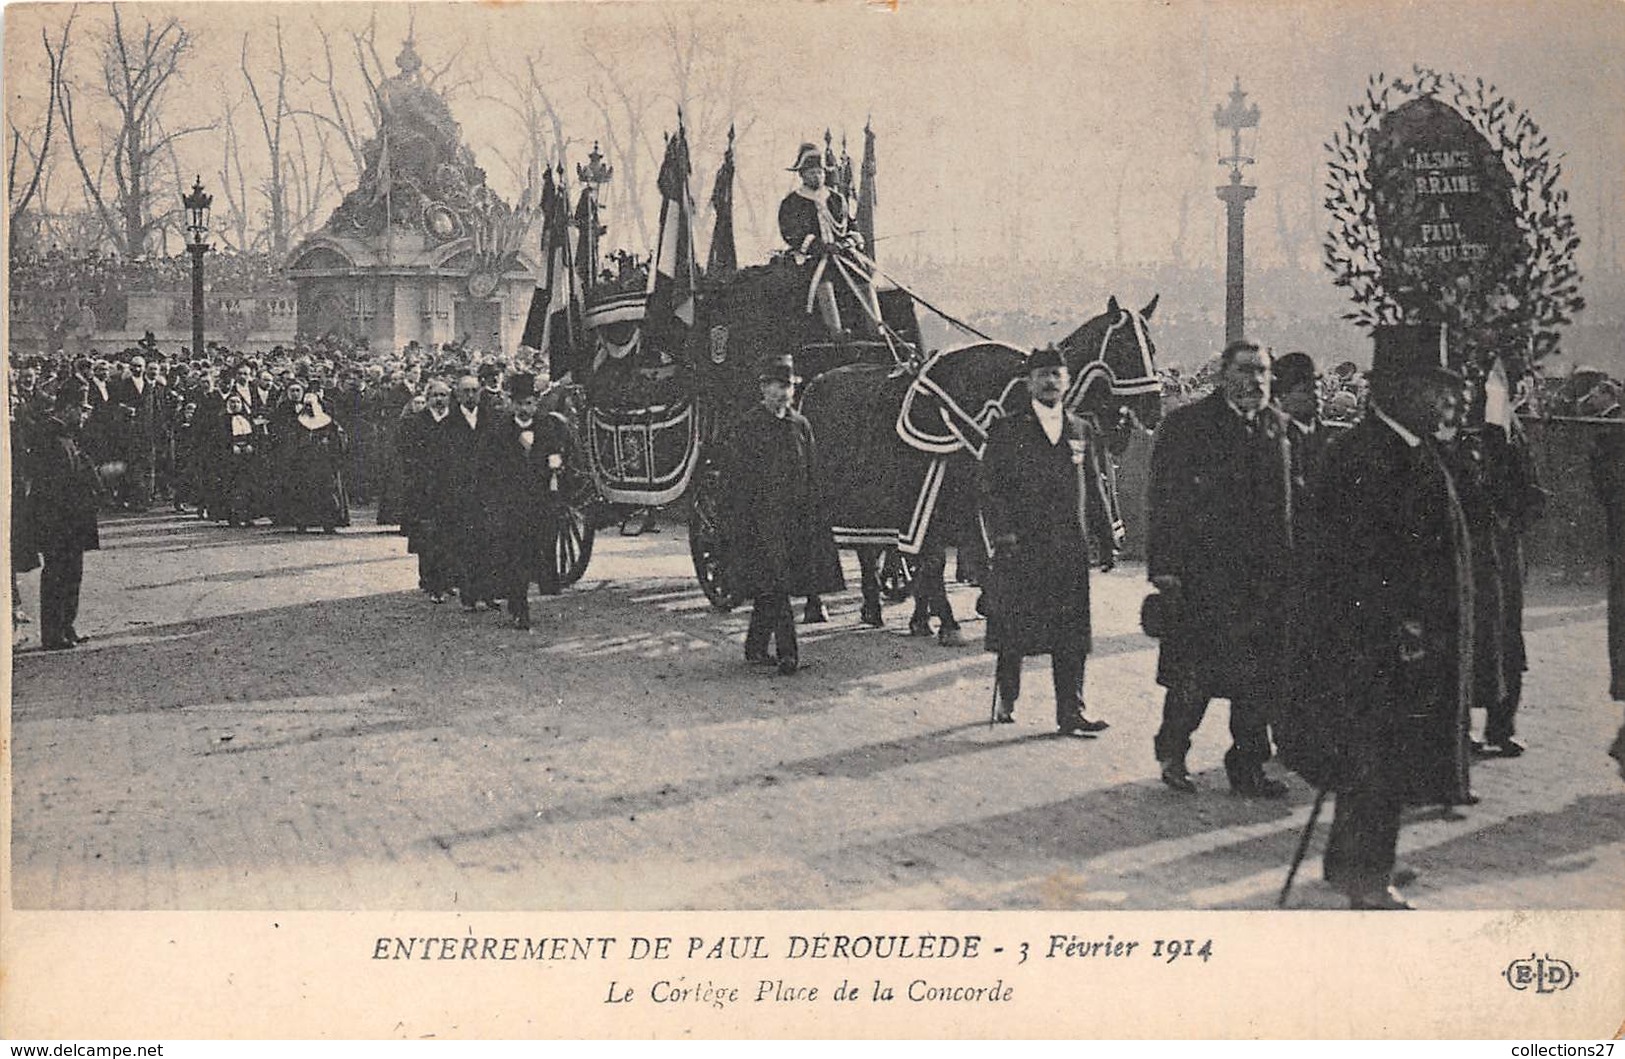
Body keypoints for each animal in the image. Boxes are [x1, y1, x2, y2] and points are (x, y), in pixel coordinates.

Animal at [796, 293, 1163, 639]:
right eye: (1125, 345)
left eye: (1152, 347)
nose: (1154, 410)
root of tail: (815, 383)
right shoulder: (939, 496)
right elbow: (938, 558)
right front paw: (947, 620)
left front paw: (936, 614)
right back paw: (824, 605)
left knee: (869, 552)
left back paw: (873, 606)